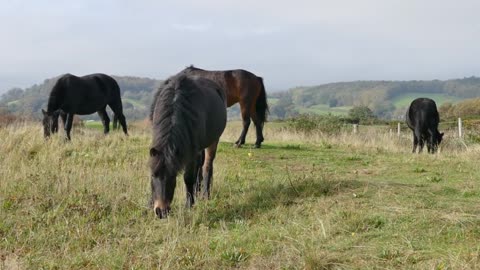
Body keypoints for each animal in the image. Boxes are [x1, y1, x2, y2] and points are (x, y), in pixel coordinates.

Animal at [149, 74, 226, 219]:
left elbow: (188, 178)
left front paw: (189, 205)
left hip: (213, 141)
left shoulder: (191, 152)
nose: (161, 211)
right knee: (200, 167)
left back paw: (205, 195)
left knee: (207, 166)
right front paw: (149, 203)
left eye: (172, 177)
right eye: (153, 175)